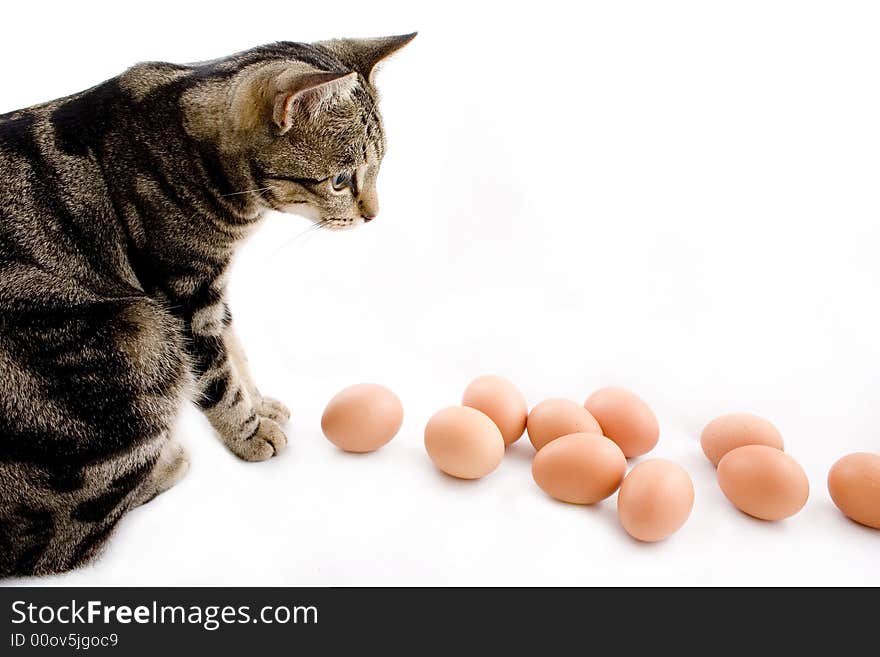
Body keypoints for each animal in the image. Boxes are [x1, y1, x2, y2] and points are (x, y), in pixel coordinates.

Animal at [0, 32, 416, 576]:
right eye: (341, 180)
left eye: (378, 170)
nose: (373, 215)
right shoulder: (183, 300)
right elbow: (218, 379)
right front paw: (249, 433)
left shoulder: (212, 293)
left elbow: (236, 352)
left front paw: (259, 404)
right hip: (142, 335)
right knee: (59, 544)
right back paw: (167, 464)